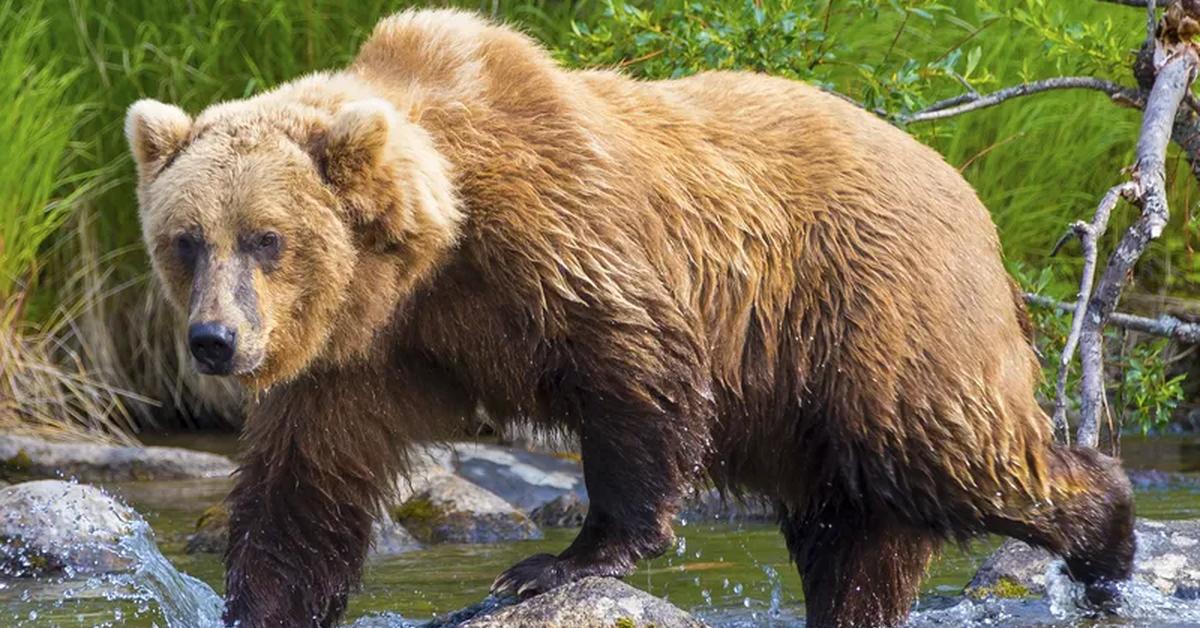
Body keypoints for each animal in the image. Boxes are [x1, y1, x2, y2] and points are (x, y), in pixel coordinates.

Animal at [126, 8, 1137, 628]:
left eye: (266, 238)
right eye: (186, 239)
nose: (214, 341)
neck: (432, 253)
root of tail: (971, 196)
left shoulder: (558, 237)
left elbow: (637, 373)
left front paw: (558, 562)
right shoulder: (363, 350)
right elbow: (305, 487)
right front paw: (256, 601)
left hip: (877, 311)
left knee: (951, 449)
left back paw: (1108, 540)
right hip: (807, 395)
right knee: (853, 529)